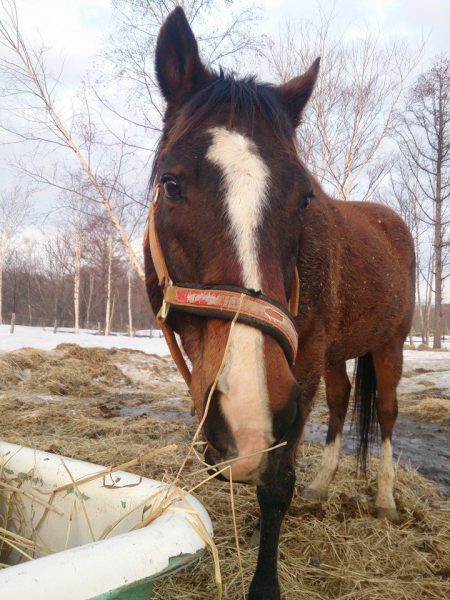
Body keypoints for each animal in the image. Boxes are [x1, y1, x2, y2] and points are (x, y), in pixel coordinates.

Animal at [143, 7, 414, 596]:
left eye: (305, 198)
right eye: (171, 185)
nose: (248, 413)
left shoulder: (302, 366)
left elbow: (275, 484)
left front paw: (264, 582)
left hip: (390, 347)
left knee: (385, 414)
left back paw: (384, 498)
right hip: (339, 355)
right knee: (341, 404)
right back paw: (323, 485)